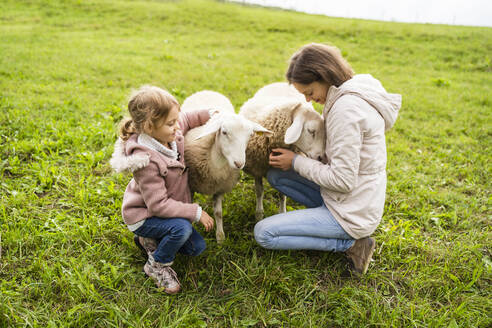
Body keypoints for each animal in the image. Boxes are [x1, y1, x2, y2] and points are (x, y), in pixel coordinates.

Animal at [182, 91, 270, 242]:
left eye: (250, 135)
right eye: (224, 132)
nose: (239, 163)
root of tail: (208, 91)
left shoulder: (220, 186)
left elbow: (218, 213)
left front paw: (220, 238)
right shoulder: (190, 185)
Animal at [239, 82, 326, 220]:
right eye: (311, 131)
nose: (321, 158)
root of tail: (281, 82)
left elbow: (281, 194)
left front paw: (282, 212)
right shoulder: (257, 168)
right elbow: (259, 191)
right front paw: (259, 214)